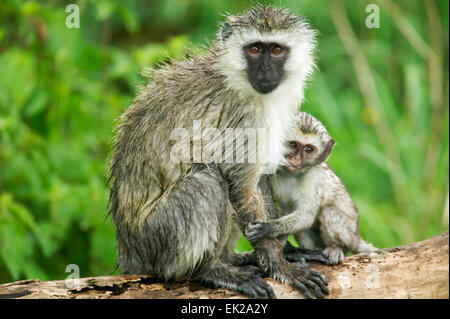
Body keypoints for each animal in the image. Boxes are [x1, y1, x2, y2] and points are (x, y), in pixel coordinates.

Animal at [246, 112, 376, 264]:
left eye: (309, 149)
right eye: (293, 144)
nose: (296, 160)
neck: (290, 175)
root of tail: (357, 238)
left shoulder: (312, 178)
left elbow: (306, 216)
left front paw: (268, 228)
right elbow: (287, 211)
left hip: (349, 236)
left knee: (328, 212)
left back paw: (335, 249)